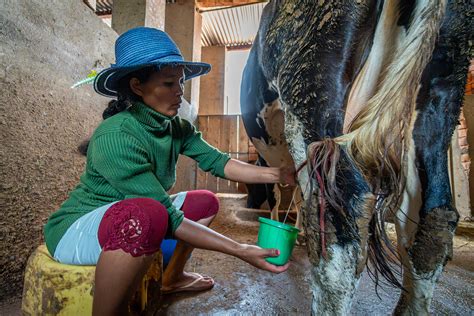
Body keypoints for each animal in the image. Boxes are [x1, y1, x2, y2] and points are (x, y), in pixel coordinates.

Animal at [243, 0, 472, 314]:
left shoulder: (271, 160)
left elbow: (281, 198)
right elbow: (299, 202)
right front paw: (299, 234)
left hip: (310, 85)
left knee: (341, 223)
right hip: (439, 95)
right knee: (432, 217)